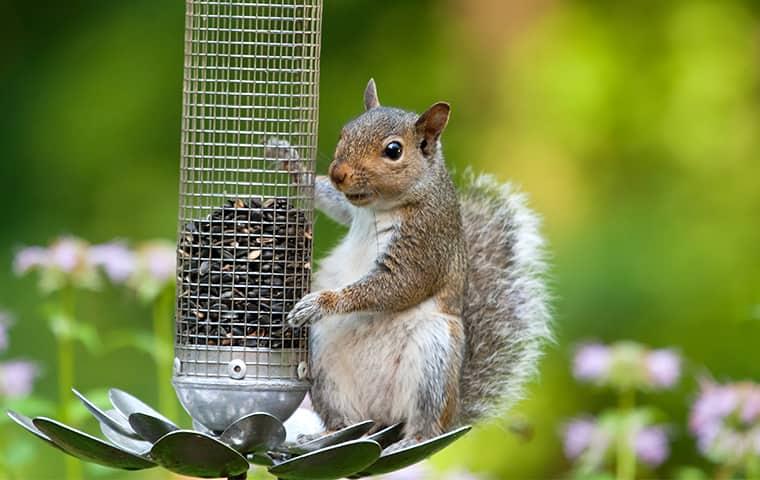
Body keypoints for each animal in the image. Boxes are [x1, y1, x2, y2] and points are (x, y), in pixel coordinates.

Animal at [266, 79, 551, 445]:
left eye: (393, 150)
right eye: (345, 132)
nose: (338, 173)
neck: (382, 206)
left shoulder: (426, 245)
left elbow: (397, 285)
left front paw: (321, 302)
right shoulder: (351, 209)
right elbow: (335, 203)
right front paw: (291, 162)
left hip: (434, 355)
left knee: (425, 423)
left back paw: (409, 439)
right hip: (323, 361)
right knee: (347, 421)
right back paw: (328, 434)